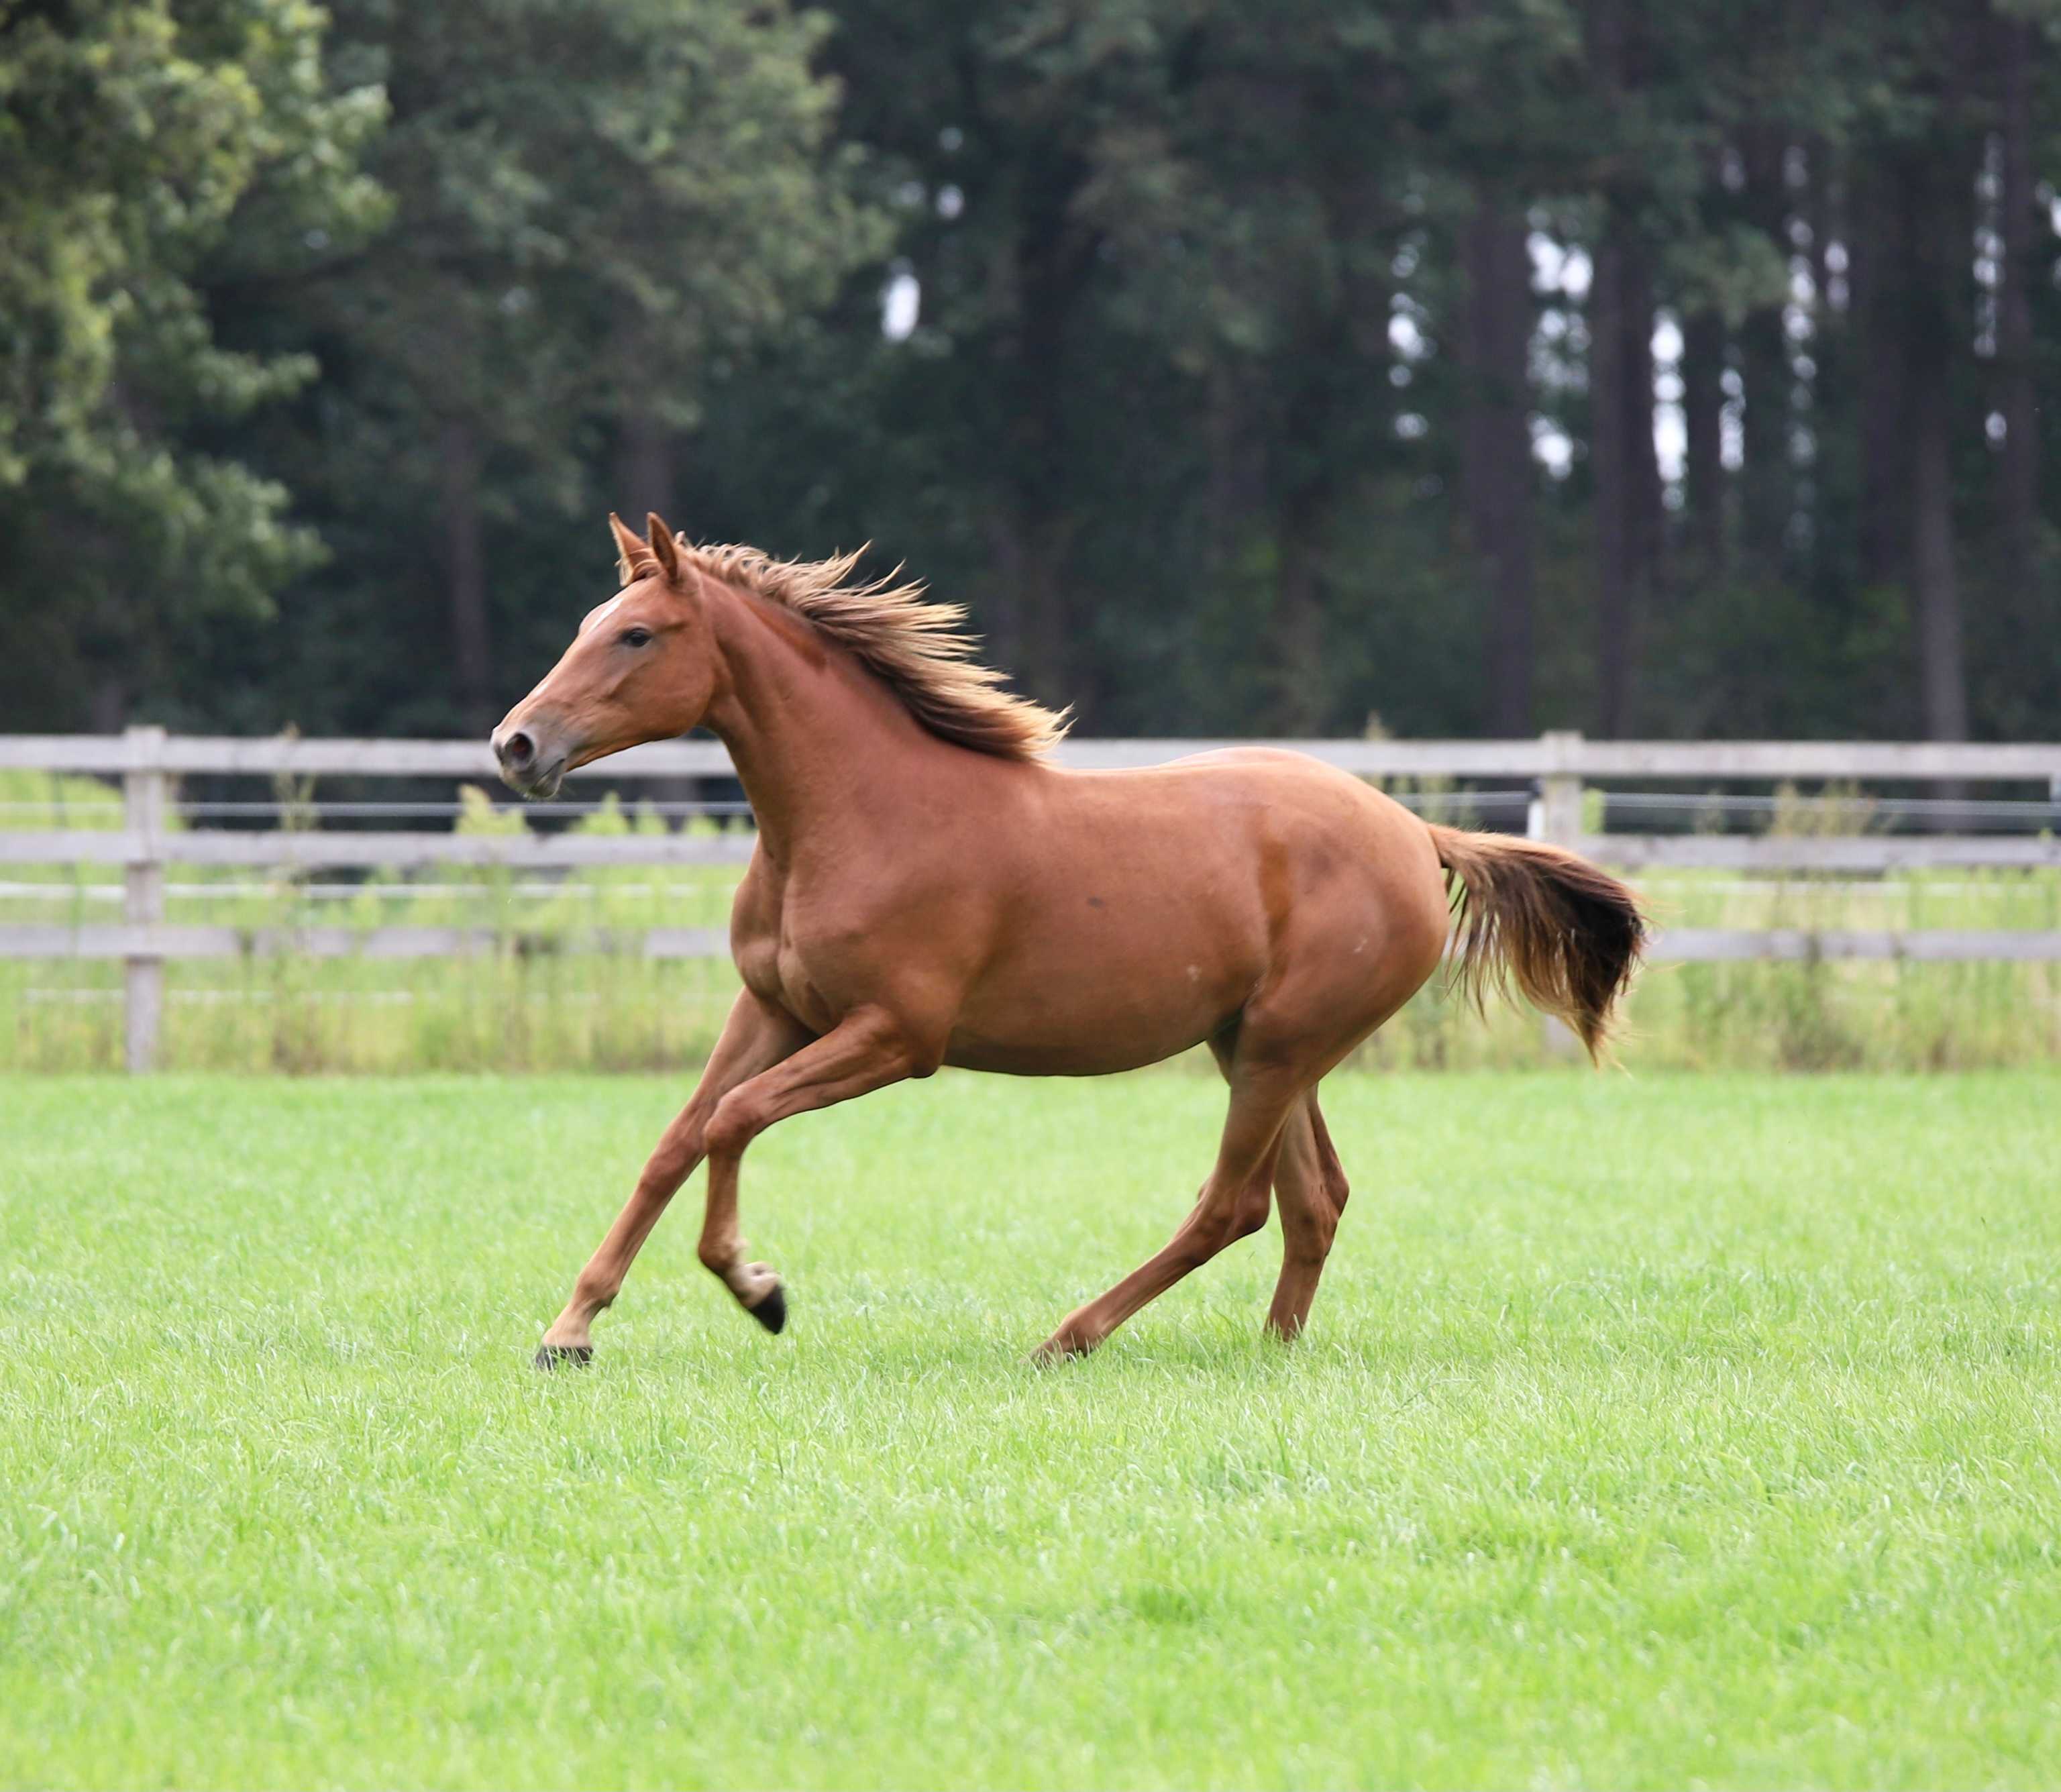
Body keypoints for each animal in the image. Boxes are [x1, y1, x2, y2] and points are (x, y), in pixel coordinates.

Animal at [490, 511, 1648, 1361]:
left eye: (638, 634)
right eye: (594, 618)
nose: (517, 744)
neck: (856, 814)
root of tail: (1417, 831)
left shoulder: (896, 1036)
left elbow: (732, 1121)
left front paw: (758, 1288)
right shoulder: (773, 1007)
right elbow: (677, 1138)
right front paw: (568, 1330)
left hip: (1281, 1046)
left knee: (1233, 1204)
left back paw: (1071, 1334)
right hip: (1259, 1042)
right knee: (1315, 1199)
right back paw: (1272, 1349)